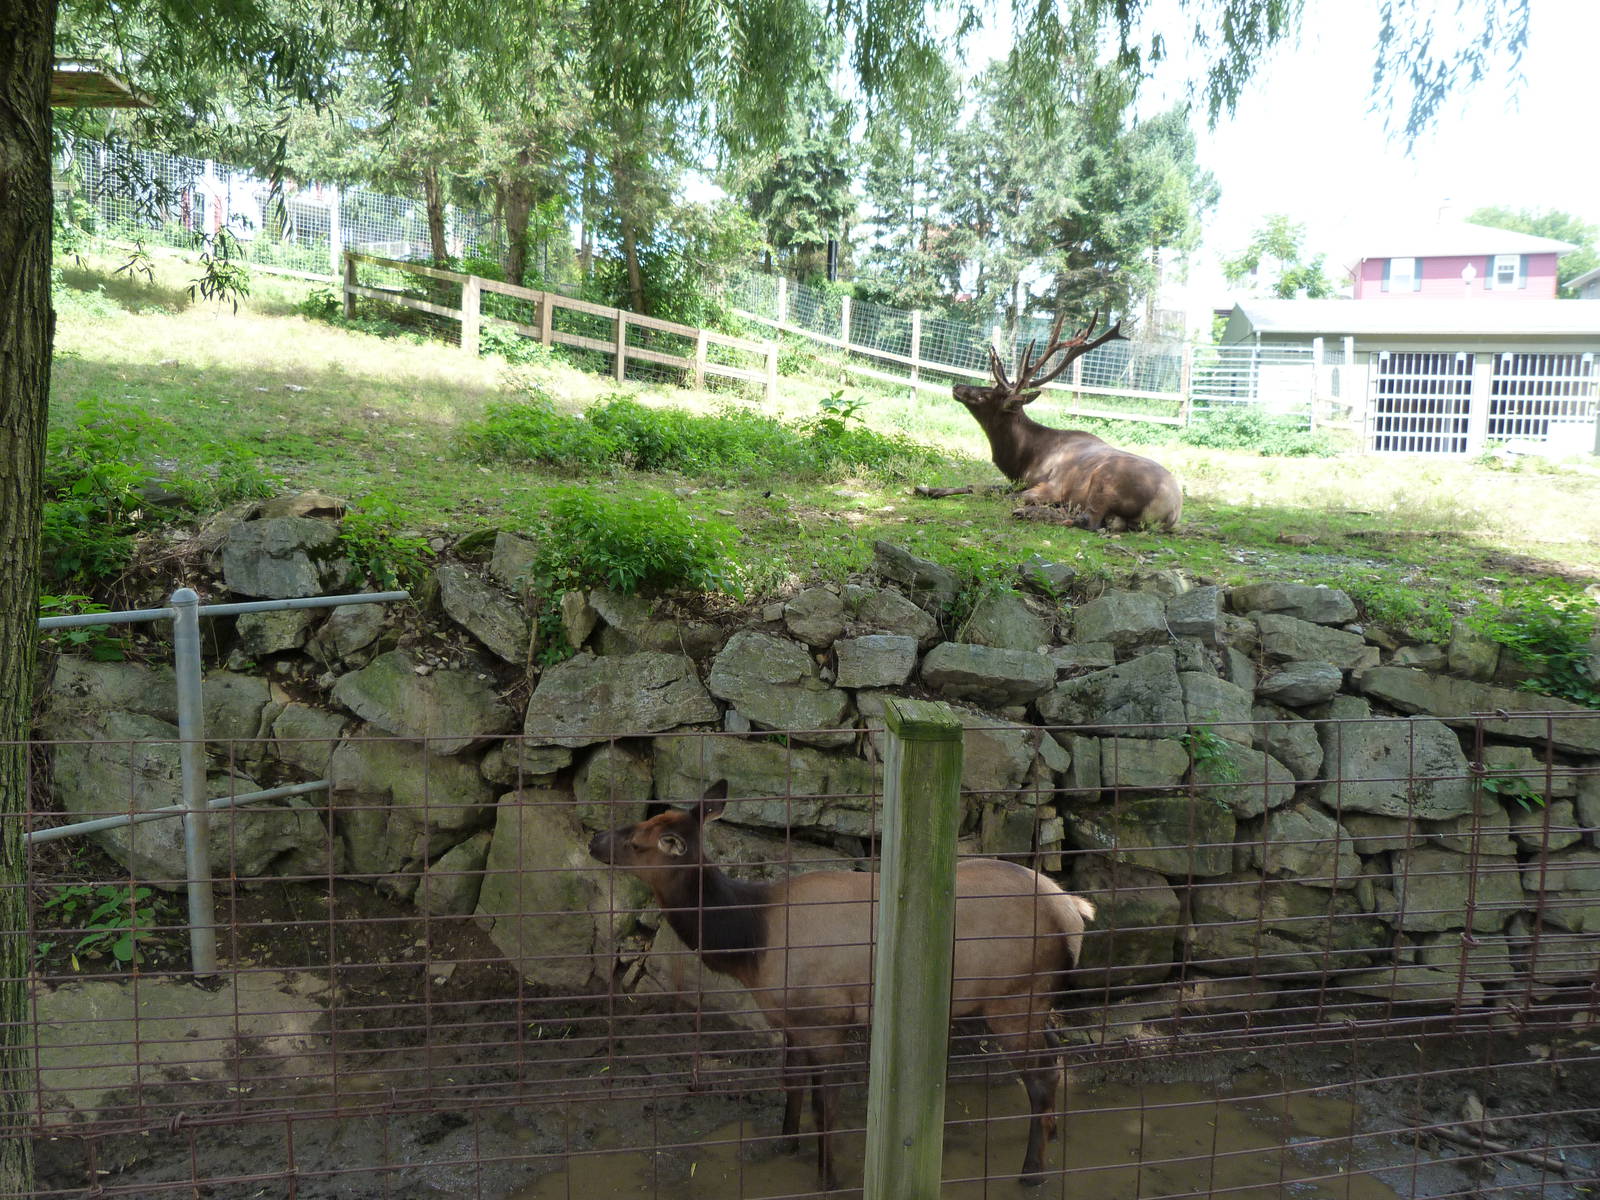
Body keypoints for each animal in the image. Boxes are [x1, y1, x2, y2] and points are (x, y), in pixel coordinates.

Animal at [588, 783, 1097, 1191]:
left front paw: (827, 1175)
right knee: (1058, 1053)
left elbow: (824, 1104)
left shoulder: (827, 1020)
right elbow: (790, 1081)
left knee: (1042, 1073)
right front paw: (786, 1141)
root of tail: (1076, 912)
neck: (750, 943)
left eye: (635, 841)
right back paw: (1052, 1131)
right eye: (638, 822)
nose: (594, 839)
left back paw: (1033, 1171)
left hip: (1011, 998)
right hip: (1036, 998)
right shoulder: (791, 1019)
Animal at [922, 311, 1183, 531]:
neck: (1023, 459)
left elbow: (997, 495)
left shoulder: (1051, 486)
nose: (957, 386)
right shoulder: (1020, 481)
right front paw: (927, 488)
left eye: (986, 394)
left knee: (1088, 520)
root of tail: (1171, 509)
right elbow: (977, 486)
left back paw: (1029, 513)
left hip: (1107, 481)